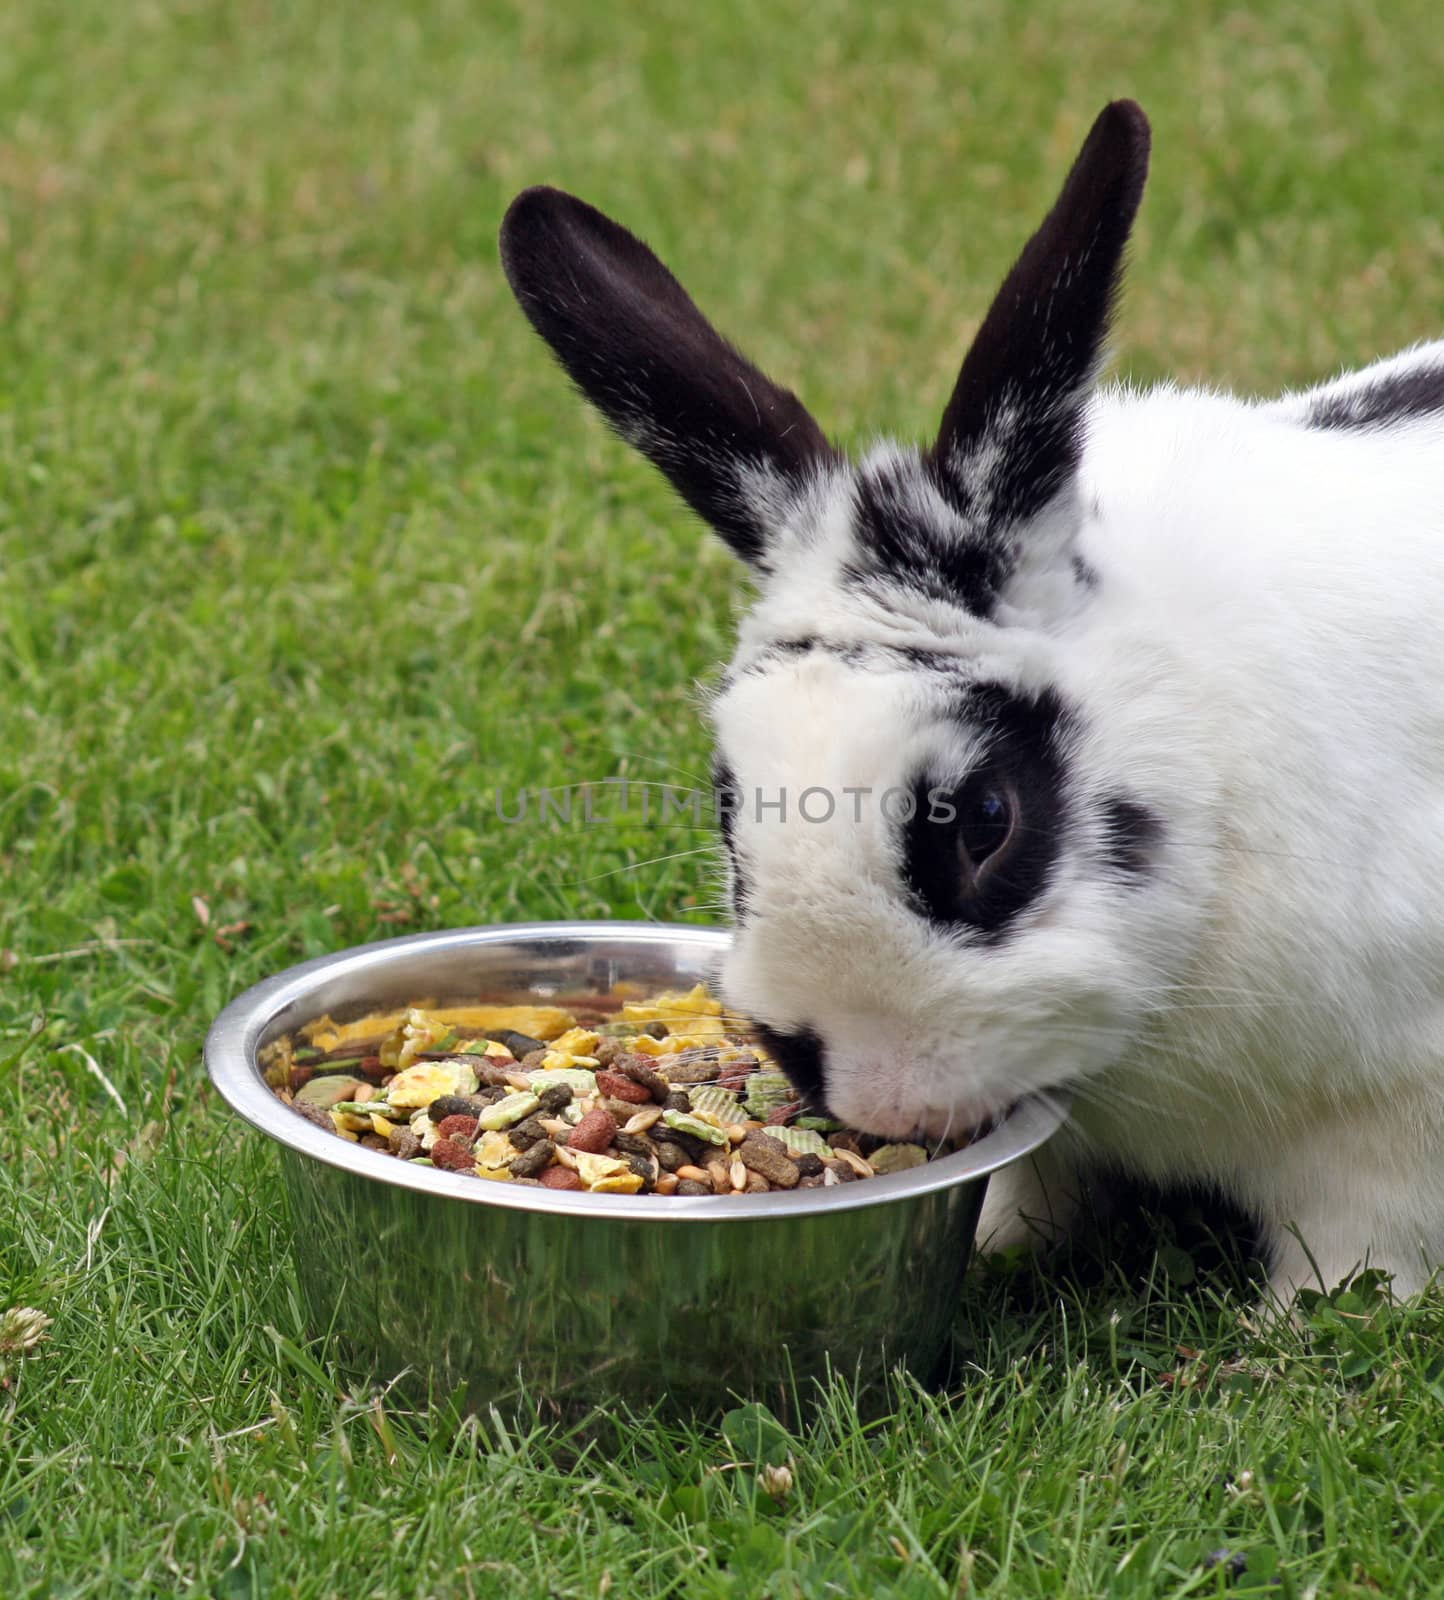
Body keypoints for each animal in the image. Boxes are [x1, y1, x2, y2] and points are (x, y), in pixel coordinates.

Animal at [502, 96, 1444, 1299]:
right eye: (727, 805)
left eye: (985, 820)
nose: (873, 1090)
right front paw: (994, 1240)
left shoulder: (1392, 1126)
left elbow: (1364, 1244)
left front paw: (1297, 1320)